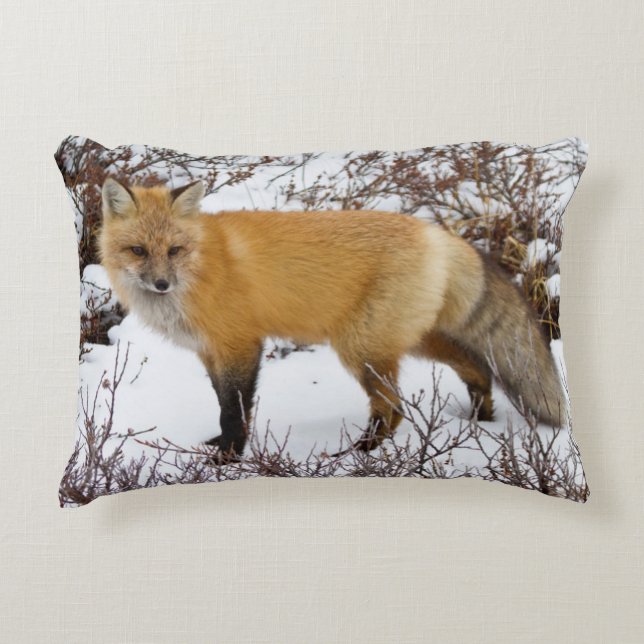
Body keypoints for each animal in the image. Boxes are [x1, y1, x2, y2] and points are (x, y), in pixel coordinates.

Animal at [98, 177, 567, 459]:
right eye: (138, 250)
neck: (201, 271)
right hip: (408, 340)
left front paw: (230, 455)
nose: (161, 284)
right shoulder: (209, 353)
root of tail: (438, 232)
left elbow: (234, 408)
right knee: (476, 367)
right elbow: (220, 402)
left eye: (174, 250)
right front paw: (222, 445)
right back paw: (480, 415)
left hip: (361, 348)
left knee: (393, 405)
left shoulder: (240, 344)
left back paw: (364, 451)